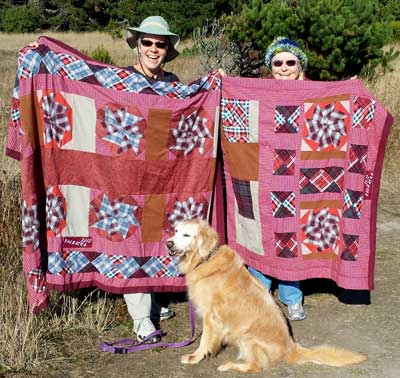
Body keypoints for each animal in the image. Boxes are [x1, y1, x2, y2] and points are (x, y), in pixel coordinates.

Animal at [164, 219, 368, 372]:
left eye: (186, 235)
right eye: (175, 231)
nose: (168, 243)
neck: (206, 259)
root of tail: (292, 348)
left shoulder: (210, 316)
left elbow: (204, 340)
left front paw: (195, 357)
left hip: (247, 336)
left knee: (256, 367)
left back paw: (229, 365)